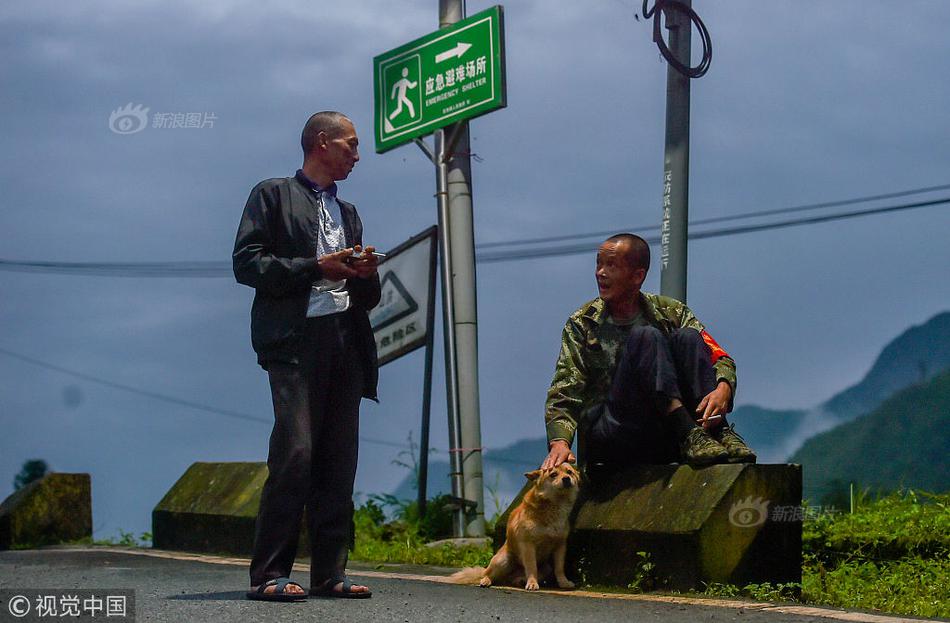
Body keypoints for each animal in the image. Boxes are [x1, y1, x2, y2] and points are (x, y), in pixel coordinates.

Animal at [452, 464, 580, 588]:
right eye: (553, 474)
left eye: (569, 472)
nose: (566, 478)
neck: (555, 505)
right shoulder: (528, 545)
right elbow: (532, 567)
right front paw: (532, 583)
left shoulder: (560, 545)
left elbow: (559, 568)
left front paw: (564, 583)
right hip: (502, 560)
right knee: (489, 575)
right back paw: (486, 580)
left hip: (546, 568)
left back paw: (520, 581)